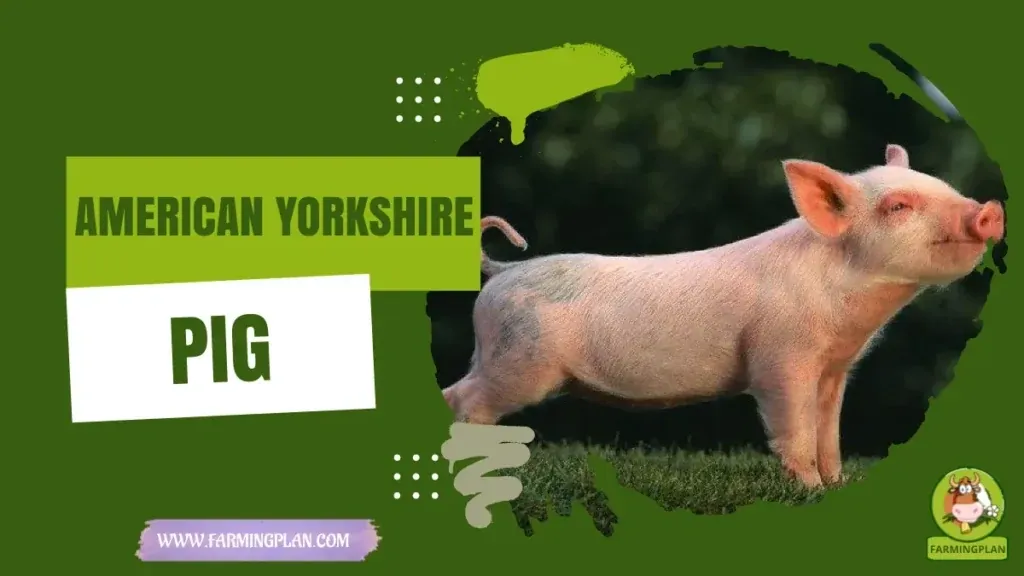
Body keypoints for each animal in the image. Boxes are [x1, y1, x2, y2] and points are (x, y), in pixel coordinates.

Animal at [442, 144, 1004, 488]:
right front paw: (807, 489)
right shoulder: (781, 358)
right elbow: (795, 428)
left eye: (942, 183)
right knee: (470, 401)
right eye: (898, 207)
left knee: (454, 392)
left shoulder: (835, 369)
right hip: (521, 362)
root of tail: (504, 269)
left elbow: (829, 432)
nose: (990, 210)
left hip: (495, 355)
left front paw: (836, 483)